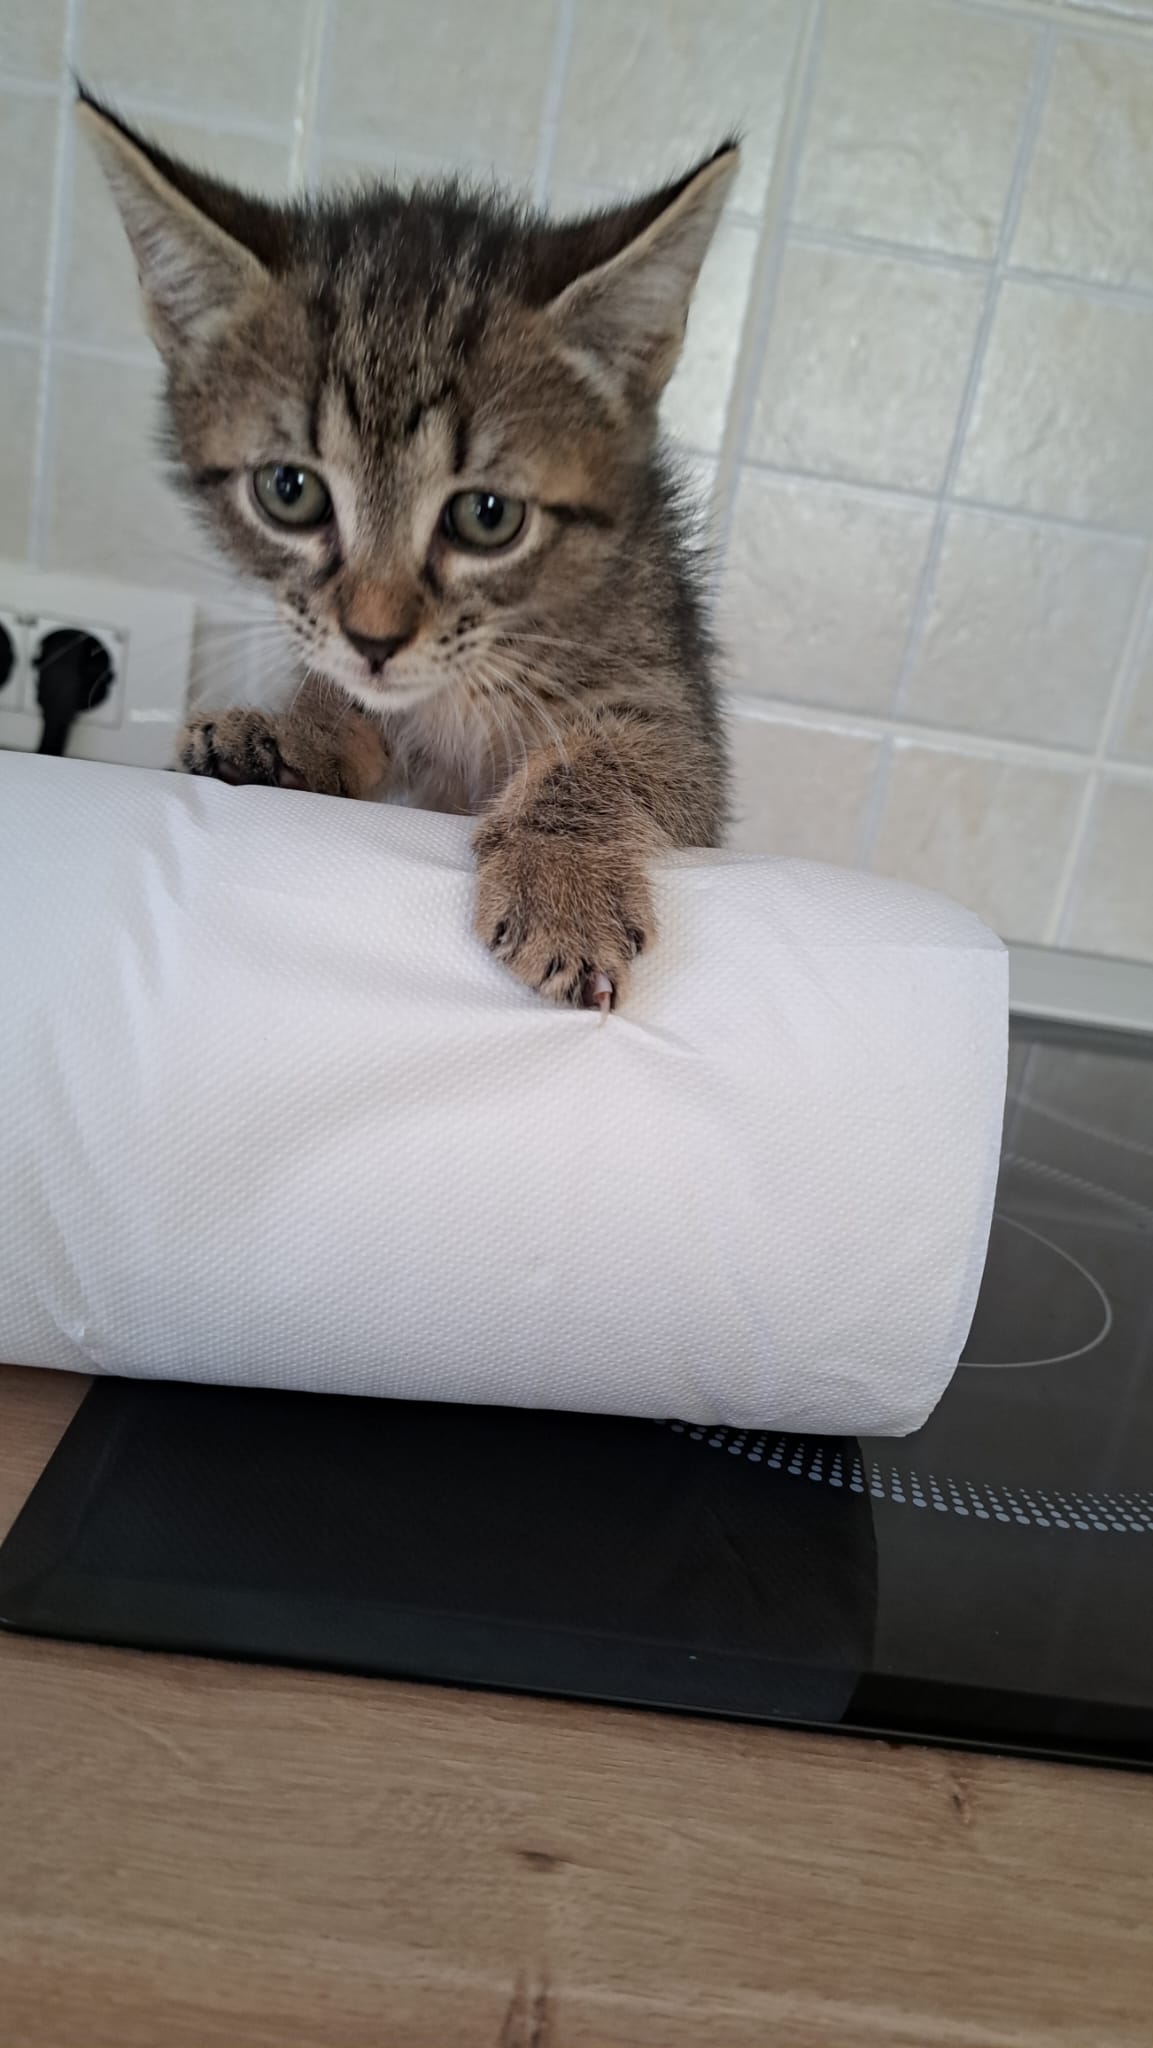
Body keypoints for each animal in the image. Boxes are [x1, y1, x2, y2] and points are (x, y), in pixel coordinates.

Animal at [79, 89, 737, 1012]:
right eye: (289, 490)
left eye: (488, 516)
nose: (375, 638)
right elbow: (340, 701)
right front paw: (292, 737)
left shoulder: (674, 711)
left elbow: (602, 758)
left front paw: (562, 886)